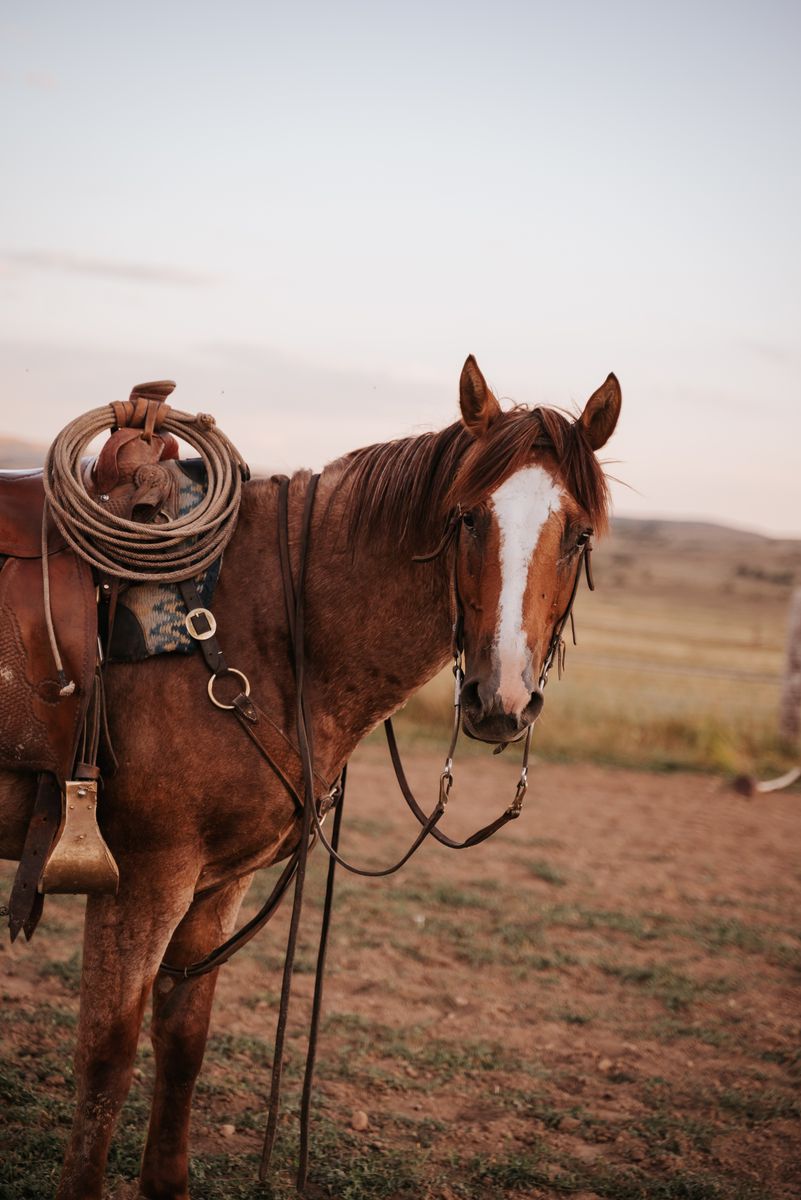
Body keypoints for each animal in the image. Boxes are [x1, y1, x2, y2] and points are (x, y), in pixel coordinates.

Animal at [0, 355, 620, 1199]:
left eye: (577, 534)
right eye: (465, 519)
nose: (501, 699)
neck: (261, 622)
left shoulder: (217, 881)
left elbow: (184, 1037)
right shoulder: (143, 876)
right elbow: (106, 1059)